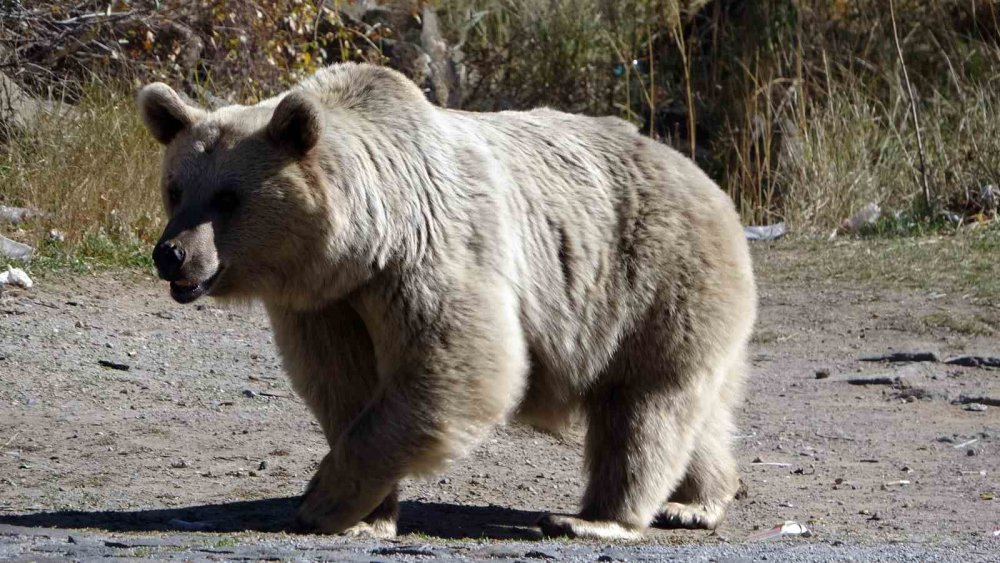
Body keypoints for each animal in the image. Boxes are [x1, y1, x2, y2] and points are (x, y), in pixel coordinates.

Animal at [135, 61, 756, 540]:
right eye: (176, 188)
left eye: (228, 197)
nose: (172, 255)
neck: (363, 242)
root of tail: (708, 181)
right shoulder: (327, 303)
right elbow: (343, 387)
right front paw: (368, 514)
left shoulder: (428, 252)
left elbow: (458, 364)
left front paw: (320, 502)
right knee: (694, 410)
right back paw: (695, 502)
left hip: (651, 282)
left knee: (644, 406)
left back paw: (597, 518)